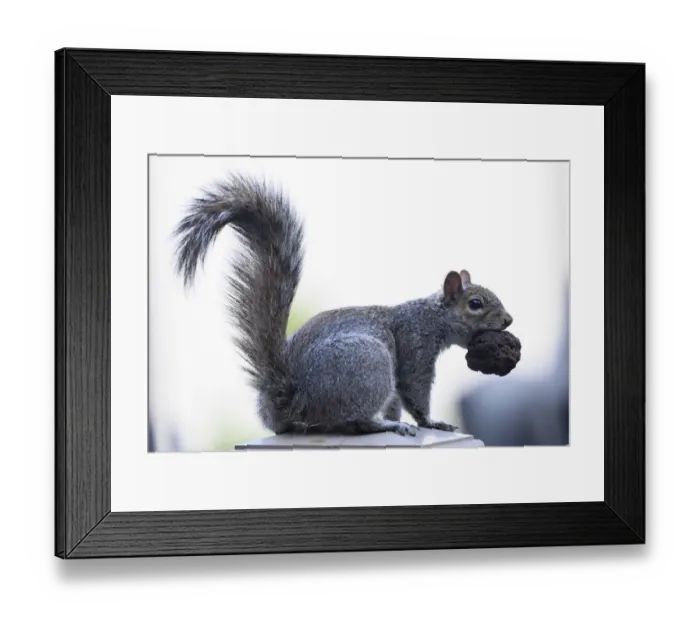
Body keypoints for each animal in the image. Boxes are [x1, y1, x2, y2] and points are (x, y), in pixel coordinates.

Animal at [174, 174, 513, 437]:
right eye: (476, 304)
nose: (508, 321)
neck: (430, 316)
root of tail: (292, 400)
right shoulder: (414, 347)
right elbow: (414, 388)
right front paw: (431, 422)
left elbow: (396, 402)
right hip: (370, 365)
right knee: (355, 422)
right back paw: (386, 426)